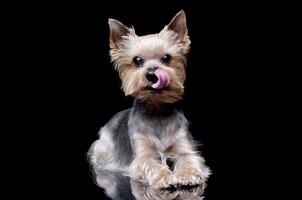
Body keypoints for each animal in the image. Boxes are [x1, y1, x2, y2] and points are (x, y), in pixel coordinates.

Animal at [87, 9, 210, 197]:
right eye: (137, 60)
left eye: (167, 58)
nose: (152, 74)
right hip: (103, 147)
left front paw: (188, 174)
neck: (157, 110)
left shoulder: (184, 144)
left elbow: (188, 158)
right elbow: (150, 164)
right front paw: (165, 177)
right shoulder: (141, 155)